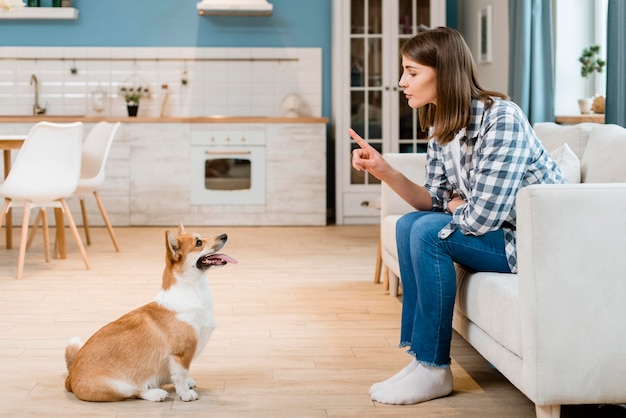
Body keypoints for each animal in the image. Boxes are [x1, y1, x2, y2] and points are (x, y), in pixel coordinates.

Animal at [63, 224, 235, 404]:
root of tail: (70, 376)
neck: (193, 290)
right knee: (136, 391)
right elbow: (181, 376)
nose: (225, 235)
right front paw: (185, 394)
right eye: (199, 243)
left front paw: (187, 383)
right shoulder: (181, 355)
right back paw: (156, 393)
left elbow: (179, 376)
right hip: (118, 386)